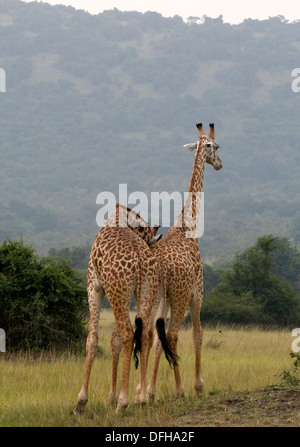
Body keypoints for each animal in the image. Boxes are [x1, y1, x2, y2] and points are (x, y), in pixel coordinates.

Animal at [74, 205, 162, 414]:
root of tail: (139, 259)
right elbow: (114, 341)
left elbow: (92, 339)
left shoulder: (94, 285)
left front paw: (81, 402)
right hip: (141, 291)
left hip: (116, 290)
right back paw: (142, 399)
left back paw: (123, 403)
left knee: (128, 334)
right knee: (144, 334)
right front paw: (111, 397)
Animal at [148, 123, 223, 402]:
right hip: (179, 296)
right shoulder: (196, 291)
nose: (220, 164)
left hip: (155, 297)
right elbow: (198, 334)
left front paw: (150, 391)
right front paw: (198, 385)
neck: (187, 226)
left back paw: (144, 392)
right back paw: (179, 390)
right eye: (216, 146)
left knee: (151, 334)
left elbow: (157, 340)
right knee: (172, 333)